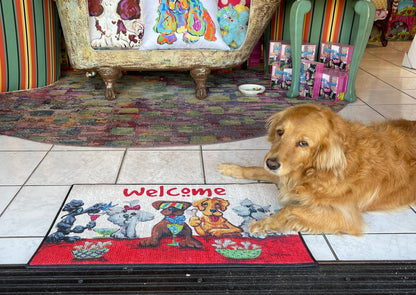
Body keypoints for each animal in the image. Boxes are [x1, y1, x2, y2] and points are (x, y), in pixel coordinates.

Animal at [218, 104, 416, 236]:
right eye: (280, 132)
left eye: (303, 143)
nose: (271, 163)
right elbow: (255, 169)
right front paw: (232, 168)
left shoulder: (347, 217)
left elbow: (290, 208)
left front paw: (265, 223)